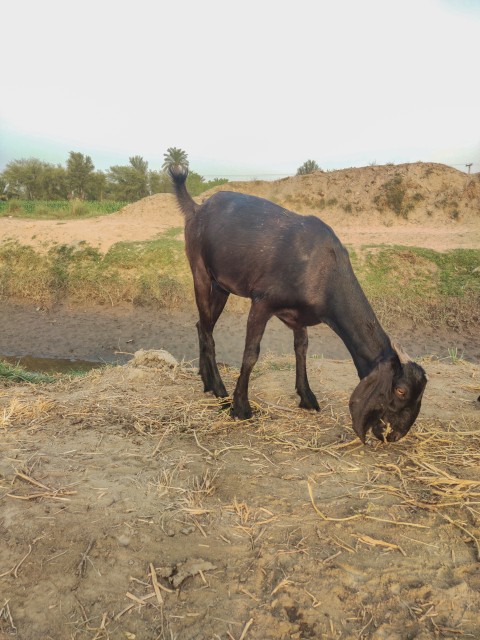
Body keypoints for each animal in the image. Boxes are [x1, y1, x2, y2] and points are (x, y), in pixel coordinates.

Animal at [169, 166, 427, 443]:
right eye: (400, 391)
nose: (395, 434)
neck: (323, 269)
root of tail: (197, 208)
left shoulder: (298, 316)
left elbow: (301, 348)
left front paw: (307, 396)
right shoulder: (262, 302)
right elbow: (251, 354)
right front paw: (241, 407)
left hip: (221, 286)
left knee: (202, 325)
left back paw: (207, 382)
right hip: (201, 272)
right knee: (207, 331)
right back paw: (220, 391)